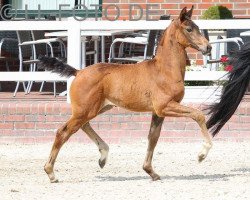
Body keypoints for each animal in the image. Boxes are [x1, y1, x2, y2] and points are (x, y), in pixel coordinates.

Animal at [38, 7, 249, 182]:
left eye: (198, 27)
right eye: (189, 29)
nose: (208, 47)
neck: (164, 70)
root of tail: (78, 72)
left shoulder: (158, 112)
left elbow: (153, 138)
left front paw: (151, 172)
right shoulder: (164, 107)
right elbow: (198, 115)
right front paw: (202, 154)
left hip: (97, 108)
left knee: (83, 126)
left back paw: (103, 156)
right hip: (86, 110)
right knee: (63, 132)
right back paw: (51, 173)